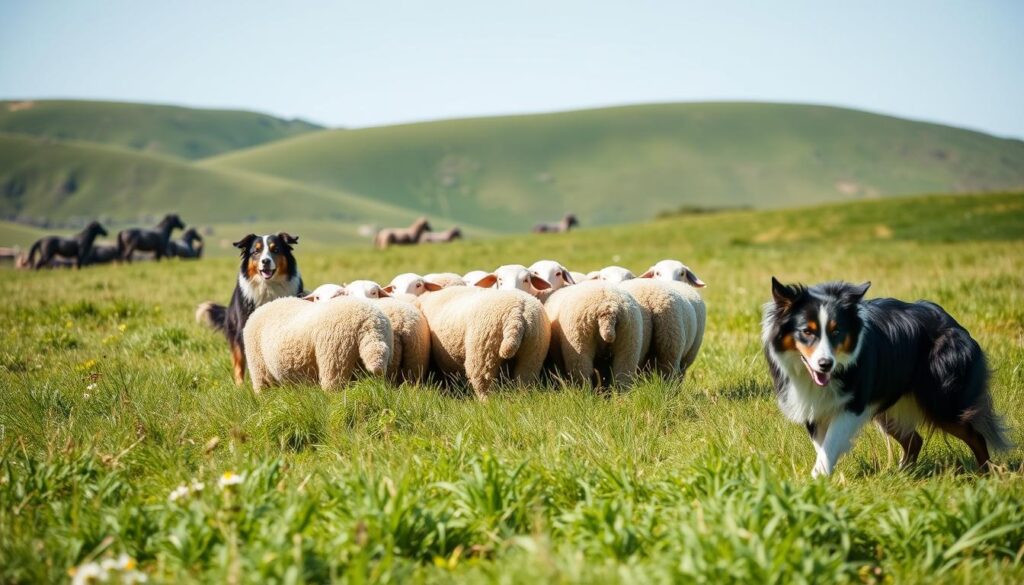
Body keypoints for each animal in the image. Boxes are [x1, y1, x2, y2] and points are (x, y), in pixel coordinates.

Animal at [413, 286, 552, 401]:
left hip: (482, 353)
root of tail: (517, 314)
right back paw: (521, 398)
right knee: (524, 378)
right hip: (533, 352)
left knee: (484, 384)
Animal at [761, 278, 1007, 475]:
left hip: (942, 402)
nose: (825, 364)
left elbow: (831, 444)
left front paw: (816, 480)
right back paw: (902, 474)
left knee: (976, 436)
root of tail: (952, 321)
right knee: (914, 440)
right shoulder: (811, 405)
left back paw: (986, 474)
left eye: (836, 331)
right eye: (807, 331)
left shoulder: (853, 405)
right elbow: (823, 447)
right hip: (888, 409)